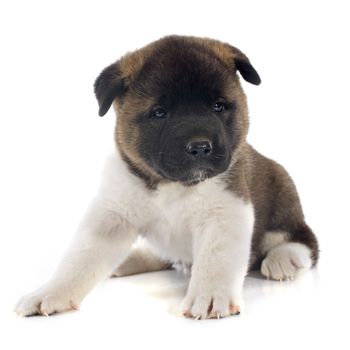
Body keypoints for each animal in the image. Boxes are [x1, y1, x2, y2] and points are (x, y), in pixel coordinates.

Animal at [15, 36, 318, 320]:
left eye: (218, 106)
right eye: (160, 113)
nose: (200, 146)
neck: (172, 185)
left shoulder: (226, 210)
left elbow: (217, 259)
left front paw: (210, 295)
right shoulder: (112, 216)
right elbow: (80, 259)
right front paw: (49, 293)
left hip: (284, 195)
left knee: (303, 241)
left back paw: (285, 258)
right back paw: (131, 259)